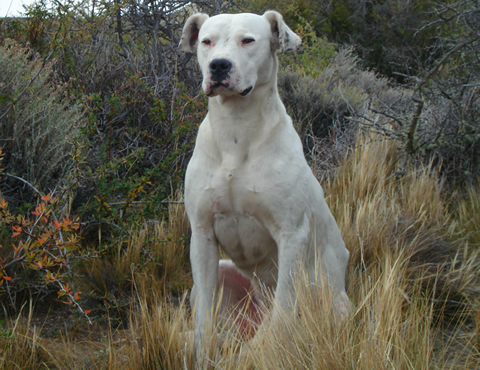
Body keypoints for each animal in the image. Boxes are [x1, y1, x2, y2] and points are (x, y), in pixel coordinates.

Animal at [180, 10, 352, 352]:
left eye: (248, 40)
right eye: (206, 41)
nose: (219, 65)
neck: (236, 131)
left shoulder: (292, 234)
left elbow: (284, 307)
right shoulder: (202, 234)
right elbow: (204, 314)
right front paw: (201, 352)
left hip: (338, 306)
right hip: (225, 274)